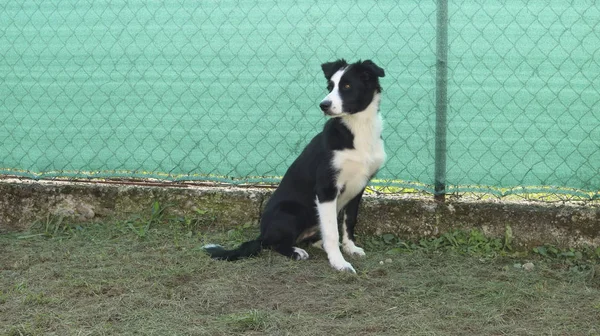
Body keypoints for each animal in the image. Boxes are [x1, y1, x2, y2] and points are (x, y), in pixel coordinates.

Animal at [204, 58, 386, 272]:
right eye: (330, 86)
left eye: (347, 86)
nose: (323, 105)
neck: (358, 128)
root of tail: (262, 234)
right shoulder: (326, 188)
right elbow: (332, 232)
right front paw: (339, 262)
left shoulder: (358, 188)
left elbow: (349, 222)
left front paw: (350, 248)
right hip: (291, 210)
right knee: (273, 244)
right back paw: (296, 251)